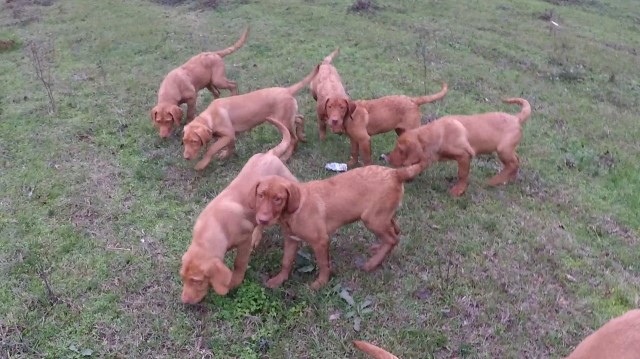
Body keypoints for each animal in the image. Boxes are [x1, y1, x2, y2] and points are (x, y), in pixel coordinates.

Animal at [179, 117, 298, 304]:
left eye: (196, 281)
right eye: (183, 278)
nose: (184, 301)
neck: (214, 226)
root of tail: (270, 154)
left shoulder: (243, 242)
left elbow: (239, 263)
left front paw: (234, 282)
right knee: (260, 221)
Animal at [181, 64, 318, 171]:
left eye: (194, 141)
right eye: (184, 141)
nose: (186, 157)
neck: (210, 116)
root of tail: (287, 90)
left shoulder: (228, 134)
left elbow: (212, 149)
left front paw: (202, 164)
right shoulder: (229, 136)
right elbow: (229, 146)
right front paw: (226, 155)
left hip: (283, 121)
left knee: (293, 139)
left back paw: (286, 156)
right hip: (286, 117)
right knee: (300, 119)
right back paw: (302, 136)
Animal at [250, 163, 424, 290]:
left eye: (278, 199)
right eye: (260, 195)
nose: (262, 220)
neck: (292, 213)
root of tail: (395, 173)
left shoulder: (320, 241)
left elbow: (323, 264)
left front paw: (320, 284)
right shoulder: (291, 239)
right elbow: (286, 262)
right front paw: (279, 280)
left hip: (372, 219)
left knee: (392, 238)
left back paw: (372, 264)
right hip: (381, 216)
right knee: (395, 229)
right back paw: (378, 250)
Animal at [384, 98, 528, 197]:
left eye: (401, 150)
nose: (386, 159)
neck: (439, 133)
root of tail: (517, 118)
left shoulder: (464, 155)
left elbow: (462, 174)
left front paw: (458, 190)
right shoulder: (428, 157)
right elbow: (415, 168)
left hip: (503, 150)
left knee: (513, 163)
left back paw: (495, 181)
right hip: (508, 150)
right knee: (516, 160)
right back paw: (509, 178)